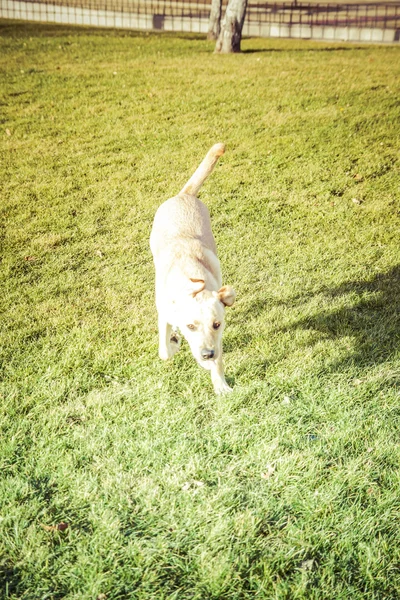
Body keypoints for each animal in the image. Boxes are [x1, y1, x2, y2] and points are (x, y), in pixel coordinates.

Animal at [152, 142, 236, 392]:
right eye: (190, 326)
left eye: (217, 324)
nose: (207, 353)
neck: (191, 277)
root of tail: (184, 195)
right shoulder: (164, 315)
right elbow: (164, 351)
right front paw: (174, 343)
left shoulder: (217, 339)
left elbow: (219, 361)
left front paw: (220, 385)